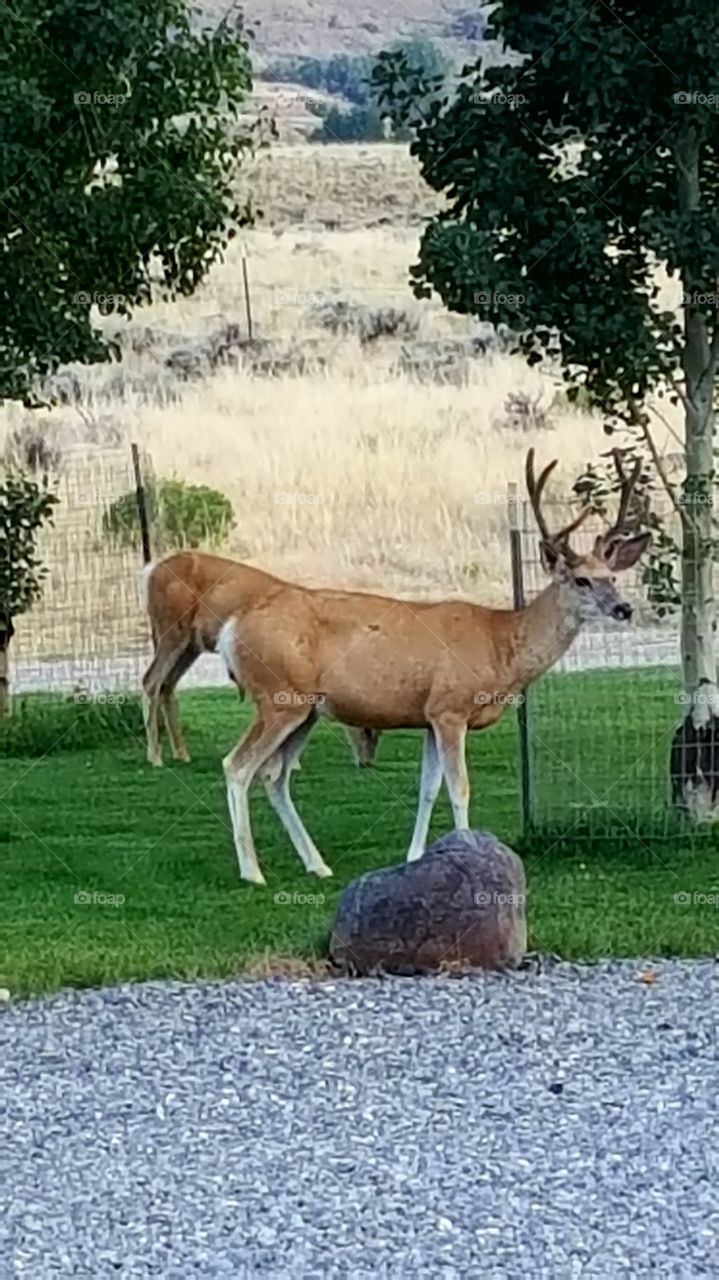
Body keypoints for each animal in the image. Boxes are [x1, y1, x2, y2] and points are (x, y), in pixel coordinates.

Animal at [140, 550, 380, 770]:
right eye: (366, 727)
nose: (366, 761)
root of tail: (150, 572)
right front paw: (290, 763)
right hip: (171, 629)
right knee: (150, 680)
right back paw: (155, 757)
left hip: (191, 645)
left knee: (167, 685)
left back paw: (182, 754)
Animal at [217, 450, 652, 884]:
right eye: (581, 580)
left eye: (612, 577)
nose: (624, 608)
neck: (499, 646)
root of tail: (230, 628)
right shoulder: (450, 708)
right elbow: (459, 789)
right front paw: (469, 853)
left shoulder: (428, 715)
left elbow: (427, 789)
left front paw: (415, 856)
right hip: (279, 697)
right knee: (237, 766)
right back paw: (252, 872)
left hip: (306, 709)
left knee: (274, 775)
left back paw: (317, 864)